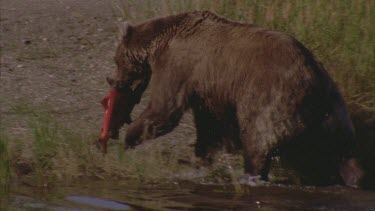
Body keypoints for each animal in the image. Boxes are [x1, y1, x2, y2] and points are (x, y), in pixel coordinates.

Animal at [103, 11, 364, 186]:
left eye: (116, 59)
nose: (111, 80)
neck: (160, 42)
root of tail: (313, 78)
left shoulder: (180, 65)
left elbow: (165, 109)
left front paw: (128, 138)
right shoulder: (210, 89)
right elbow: (211, 128)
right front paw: (199, 159)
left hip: (271, 98)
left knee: (257, 138)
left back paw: (251, 174)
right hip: (335, 111)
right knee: (345, 151)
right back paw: (354, 179)